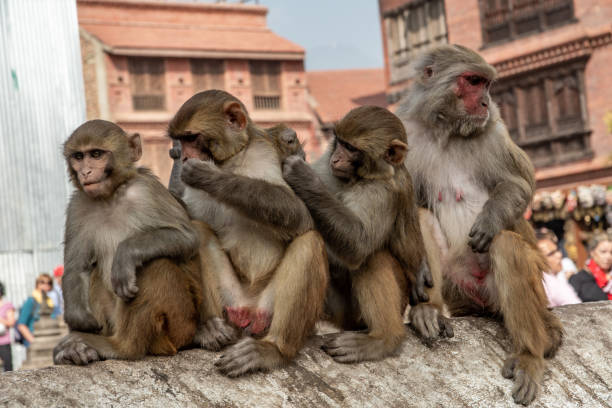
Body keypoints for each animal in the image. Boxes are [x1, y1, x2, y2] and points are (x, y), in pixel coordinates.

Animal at [53, 119, 202, 364]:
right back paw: (78, 349)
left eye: (96, 154)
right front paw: (77, 319)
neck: (111, 195)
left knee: (155, 263)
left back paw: (121, 348)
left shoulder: (147, 190)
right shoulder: (78, 205)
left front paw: (125, 255)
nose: (85, 171)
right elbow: (77, 267)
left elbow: (187, 237)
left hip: (180, 327)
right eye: (78, 156)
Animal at [167, 89, 330, 376]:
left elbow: (298, 213)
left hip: (268, 309)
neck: (231, 160)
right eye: (180, 140)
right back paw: (210, 328)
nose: (184, 157)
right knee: (199, 231)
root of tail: (249, 310)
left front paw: (210, 178)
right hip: (231, 302)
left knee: (309, 242)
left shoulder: (262, 152)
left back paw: (272, 350)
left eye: (191, 138)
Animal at [280, 106, 450, 364]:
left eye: (351, 149)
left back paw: (384, 338)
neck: (362, 178)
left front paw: (302, 176)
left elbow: (358, 244)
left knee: (373, 257)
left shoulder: (380, 193)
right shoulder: (329, 171)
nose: (335, 158)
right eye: (340, 143)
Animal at [396, 45, 564, 404]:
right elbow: (407, 207)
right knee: (423, 218)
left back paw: (529, 355)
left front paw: (490, 219)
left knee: (507, 246)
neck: (447, 130)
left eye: (486, 85)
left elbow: (517, 184)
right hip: (455, 283)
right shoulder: (404, 132)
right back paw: (429, 310)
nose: (486, 102)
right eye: (473, 81)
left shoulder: (494, 131)